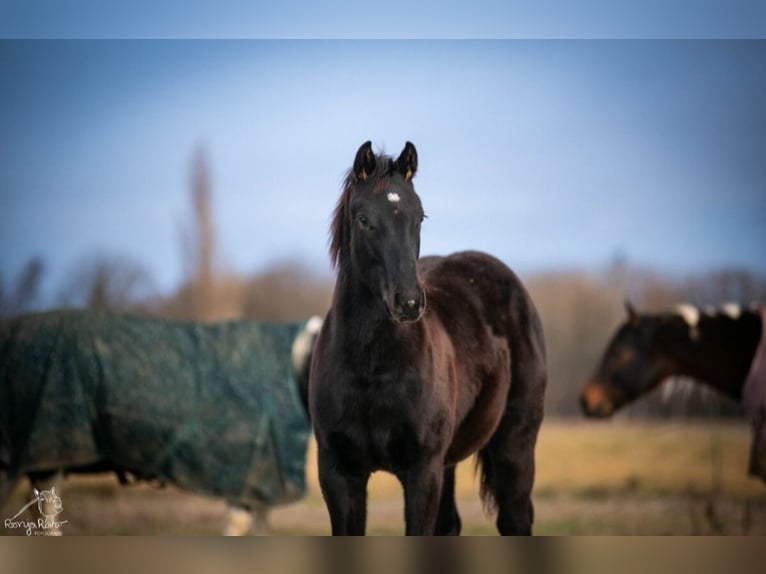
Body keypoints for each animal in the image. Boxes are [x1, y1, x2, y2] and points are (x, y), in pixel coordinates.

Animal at [309, 141, 547, 535]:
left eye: (419, 217)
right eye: (363, 219)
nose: (407, 302)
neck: (370, 366)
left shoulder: (422, 470)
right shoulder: (339, 474)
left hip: (514, 443)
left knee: (515, 518)